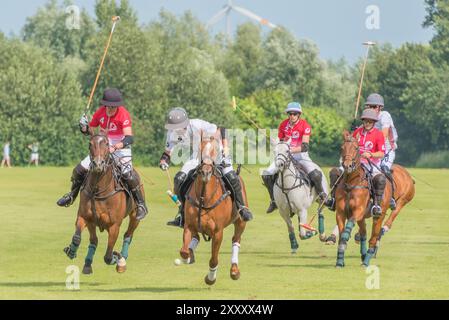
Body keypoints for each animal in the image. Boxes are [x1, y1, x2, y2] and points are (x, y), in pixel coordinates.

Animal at [63, 134, 140, 274]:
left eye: (107, 144)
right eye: (90, 144)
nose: (98, 164)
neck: (98, 189)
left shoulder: (114, 225)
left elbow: (108, 256)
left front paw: (116, 257)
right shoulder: (86, 217)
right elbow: (80, 237)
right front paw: (72, 252)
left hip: (135, 216)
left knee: (128, 235)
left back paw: (122, 260)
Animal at [177, 136, 247, 286]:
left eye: (215, 151)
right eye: (200, 150)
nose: (205, 172)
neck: (204, 197)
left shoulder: (217, 232)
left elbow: (214, 259)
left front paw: (210, 278)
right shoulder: (189, 225)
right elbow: (184, 251)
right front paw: (187, 257)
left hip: (240, 221)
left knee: (236, 240)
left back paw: (234, 270)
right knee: (196, 238)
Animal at [332, 130, 392, 268]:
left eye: (356, 148)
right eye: (342, 147)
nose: (347, 165)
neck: (351, 183)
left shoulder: (357, 212)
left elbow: (345, 233)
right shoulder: (340, 213)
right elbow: (342, 235)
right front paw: (340, 261)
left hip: (378, 216)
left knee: (373, 238)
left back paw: (366, 261)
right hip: (362, 218)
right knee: (364, 234)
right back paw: (364, 255)